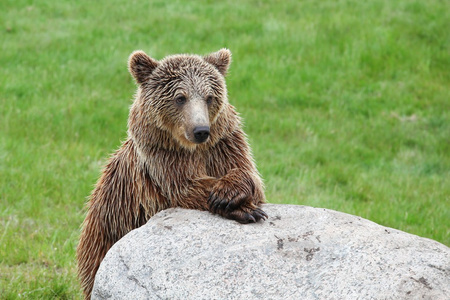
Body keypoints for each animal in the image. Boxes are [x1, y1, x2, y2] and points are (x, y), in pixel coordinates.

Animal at [76, 48, 268, 298]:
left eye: (209, 97)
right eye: (180, 97)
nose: (201, 130)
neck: (191, 149)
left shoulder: (223, 145)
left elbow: (249, 175)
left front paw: (232, 195)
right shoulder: (163, 161)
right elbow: (185, 188)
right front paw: (244, 209)